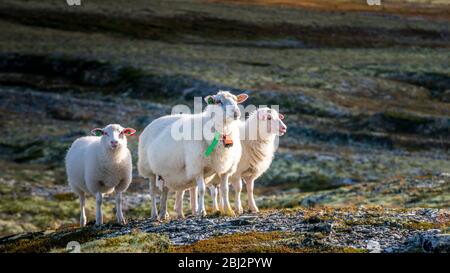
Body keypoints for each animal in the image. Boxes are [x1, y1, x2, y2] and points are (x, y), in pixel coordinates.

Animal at [139, 90, 248, 218]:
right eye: (218, 101)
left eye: (236, 100)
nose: (236, 113)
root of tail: (153, 122)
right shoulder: (197, 166)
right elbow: (201, 190)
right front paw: (202, 211)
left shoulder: (226, 168)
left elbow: (225, 190)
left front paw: (228, 210)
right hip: (149, 170)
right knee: (153, 192)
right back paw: (155, 214)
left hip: (165, 172)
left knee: (165, 190)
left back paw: (166, 214)